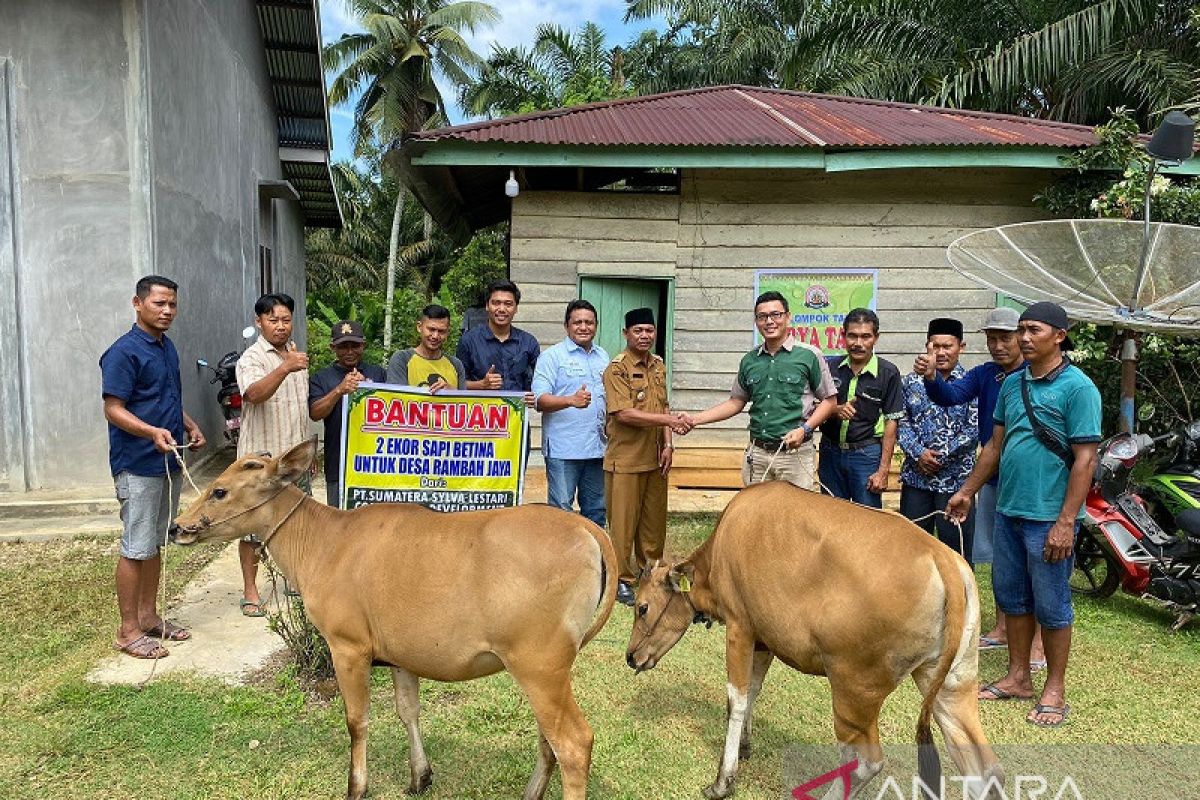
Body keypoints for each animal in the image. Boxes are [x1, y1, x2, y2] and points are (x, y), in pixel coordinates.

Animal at [174, 438, 614, 800]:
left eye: (219, 491)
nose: (178, 526)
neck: (325, 540)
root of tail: (584, 526)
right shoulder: (403, 657)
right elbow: (408, 711)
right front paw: (420, 776)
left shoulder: (348, 647)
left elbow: (357, 720)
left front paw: (357, 787)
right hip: (546, 670)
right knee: (548, 739)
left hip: (538, 664)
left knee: (574, 742)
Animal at [624, 482, 998, 800]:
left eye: (642, 607)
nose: (631, 656)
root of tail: (942, 557)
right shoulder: (763, 640)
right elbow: (755, 690)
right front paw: (745, 747)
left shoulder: (740, 628)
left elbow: (737, 699)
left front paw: (722, 781)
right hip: (952, 686)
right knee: (985, 769)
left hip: (853, 692)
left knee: (867, 762)